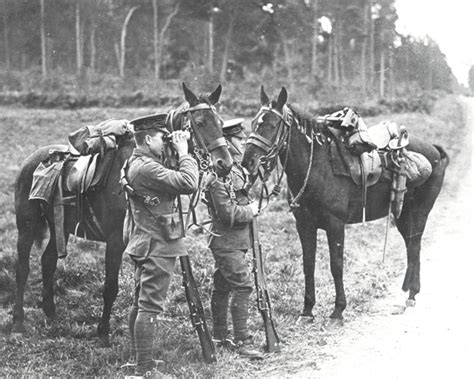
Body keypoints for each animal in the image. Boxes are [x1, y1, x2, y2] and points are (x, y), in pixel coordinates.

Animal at [11, 83, 233, 344]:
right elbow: (111, 286)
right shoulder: (115, 240)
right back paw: (18, 321)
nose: (225, 164)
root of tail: (31, 161)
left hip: (59, 227)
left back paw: (51, 313)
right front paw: (104, 331)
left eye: (220, 121)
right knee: (23, 269)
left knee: (48, 261)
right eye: (199, 122)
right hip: (26, 227)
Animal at [243, 88, 450, 324]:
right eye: (253, 122)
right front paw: (307, 310)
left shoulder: (335, 225)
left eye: (271, 125)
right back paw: (407, 289)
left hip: (419, 212)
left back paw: (412, 294)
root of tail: (435, 150)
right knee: (410, 245)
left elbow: (336, 265)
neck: (319, 166)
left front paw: (338, 310)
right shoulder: (304, 224)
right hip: (402, 215)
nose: (247, 162)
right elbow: (308, 265)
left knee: (415, 245)